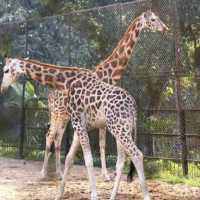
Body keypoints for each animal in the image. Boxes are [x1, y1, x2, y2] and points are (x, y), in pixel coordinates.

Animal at [1, 57, 150, 199]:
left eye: (6, 70)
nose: (2, 88)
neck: (67, 82)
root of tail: (133, 107)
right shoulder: (79, 125)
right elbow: (69, 158)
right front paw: (59, 194)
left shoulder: (78, 122)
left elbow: (88, 160)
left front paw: (94, 196)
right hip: (121, 129)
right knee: (121, 161)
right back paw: (112, 197)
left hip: (118, 128)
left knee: (137, 154)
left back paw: (146, 196)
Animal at [42, 10, 169, 180]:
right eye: (153, 19)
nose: (165, 28)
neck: (108, 73)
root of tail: (50, 93)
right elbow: (102, 144)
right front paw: (106, 175)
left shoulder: (100, 118)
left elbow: (103, 145)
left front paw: (106, 174)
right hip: (57, 113)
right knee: (50, 135)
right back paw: (43, 173)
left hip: (64, 116)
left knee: (57, 138)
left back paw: (59, 173)